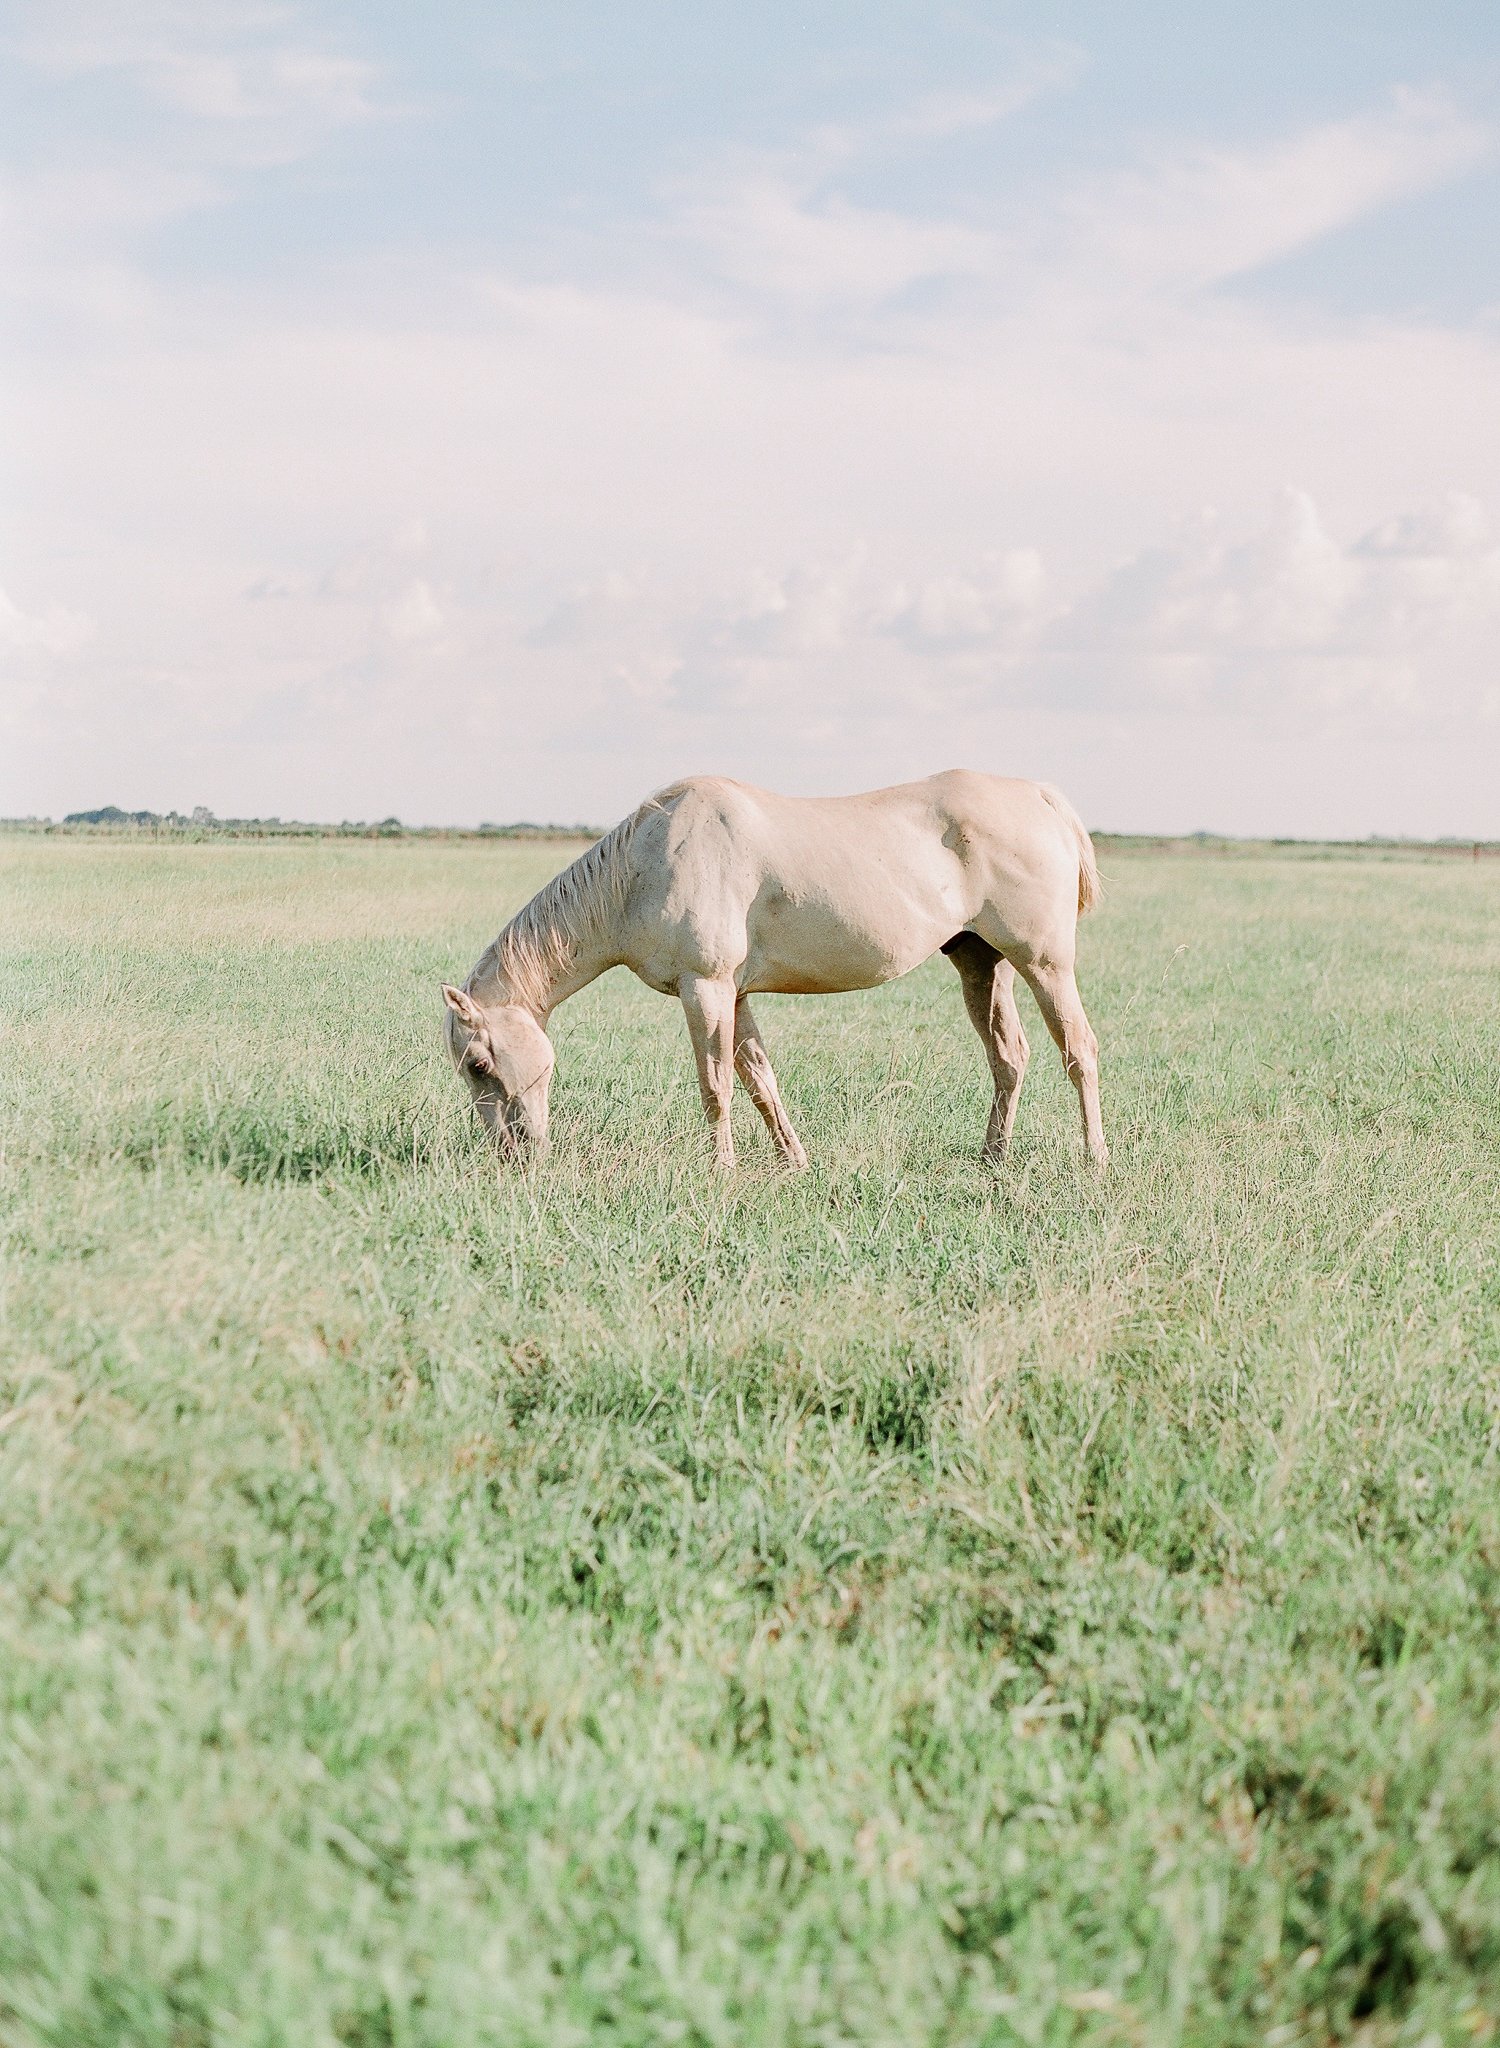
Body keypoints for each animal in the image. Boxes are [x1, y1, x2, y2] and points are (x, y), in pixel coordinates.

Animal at [438, 770, 1106, 1171]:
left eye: (479, 1065)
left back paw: (1094, 1158)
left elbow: (716, 1086)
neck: (648, 864)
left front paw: (723, 1170)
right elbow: (760, 1079)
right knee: (1009, 1057)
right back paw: (993, 1158)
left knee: (1079, 1050)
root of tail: (1039, 796)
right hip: (982, 963)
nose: (510, 1154)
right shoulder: (733, 995)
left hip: (1045, 964)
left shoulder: (705, 989)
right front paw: (794, 1162)